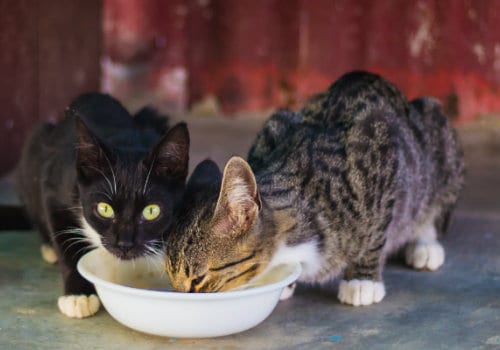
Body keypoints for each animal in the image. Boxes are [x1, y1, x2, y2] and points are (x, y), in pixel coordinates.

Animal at [16, 94, 189, 318]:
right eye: (104, 209)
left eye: (151, 211)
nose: (124, 244)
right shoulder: (53, 187)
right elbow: (66, 243)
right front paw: (78, 295)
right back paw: (49, 248)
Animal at [164, 71, 464, 306]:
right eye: (170, 276)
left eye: (198, 279)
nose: (179, 298)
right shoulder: (273, 127)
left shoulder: (381, 148)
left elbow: (376, 231)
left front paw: (362, 279)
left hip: (437, 140)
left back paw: (425, 242)